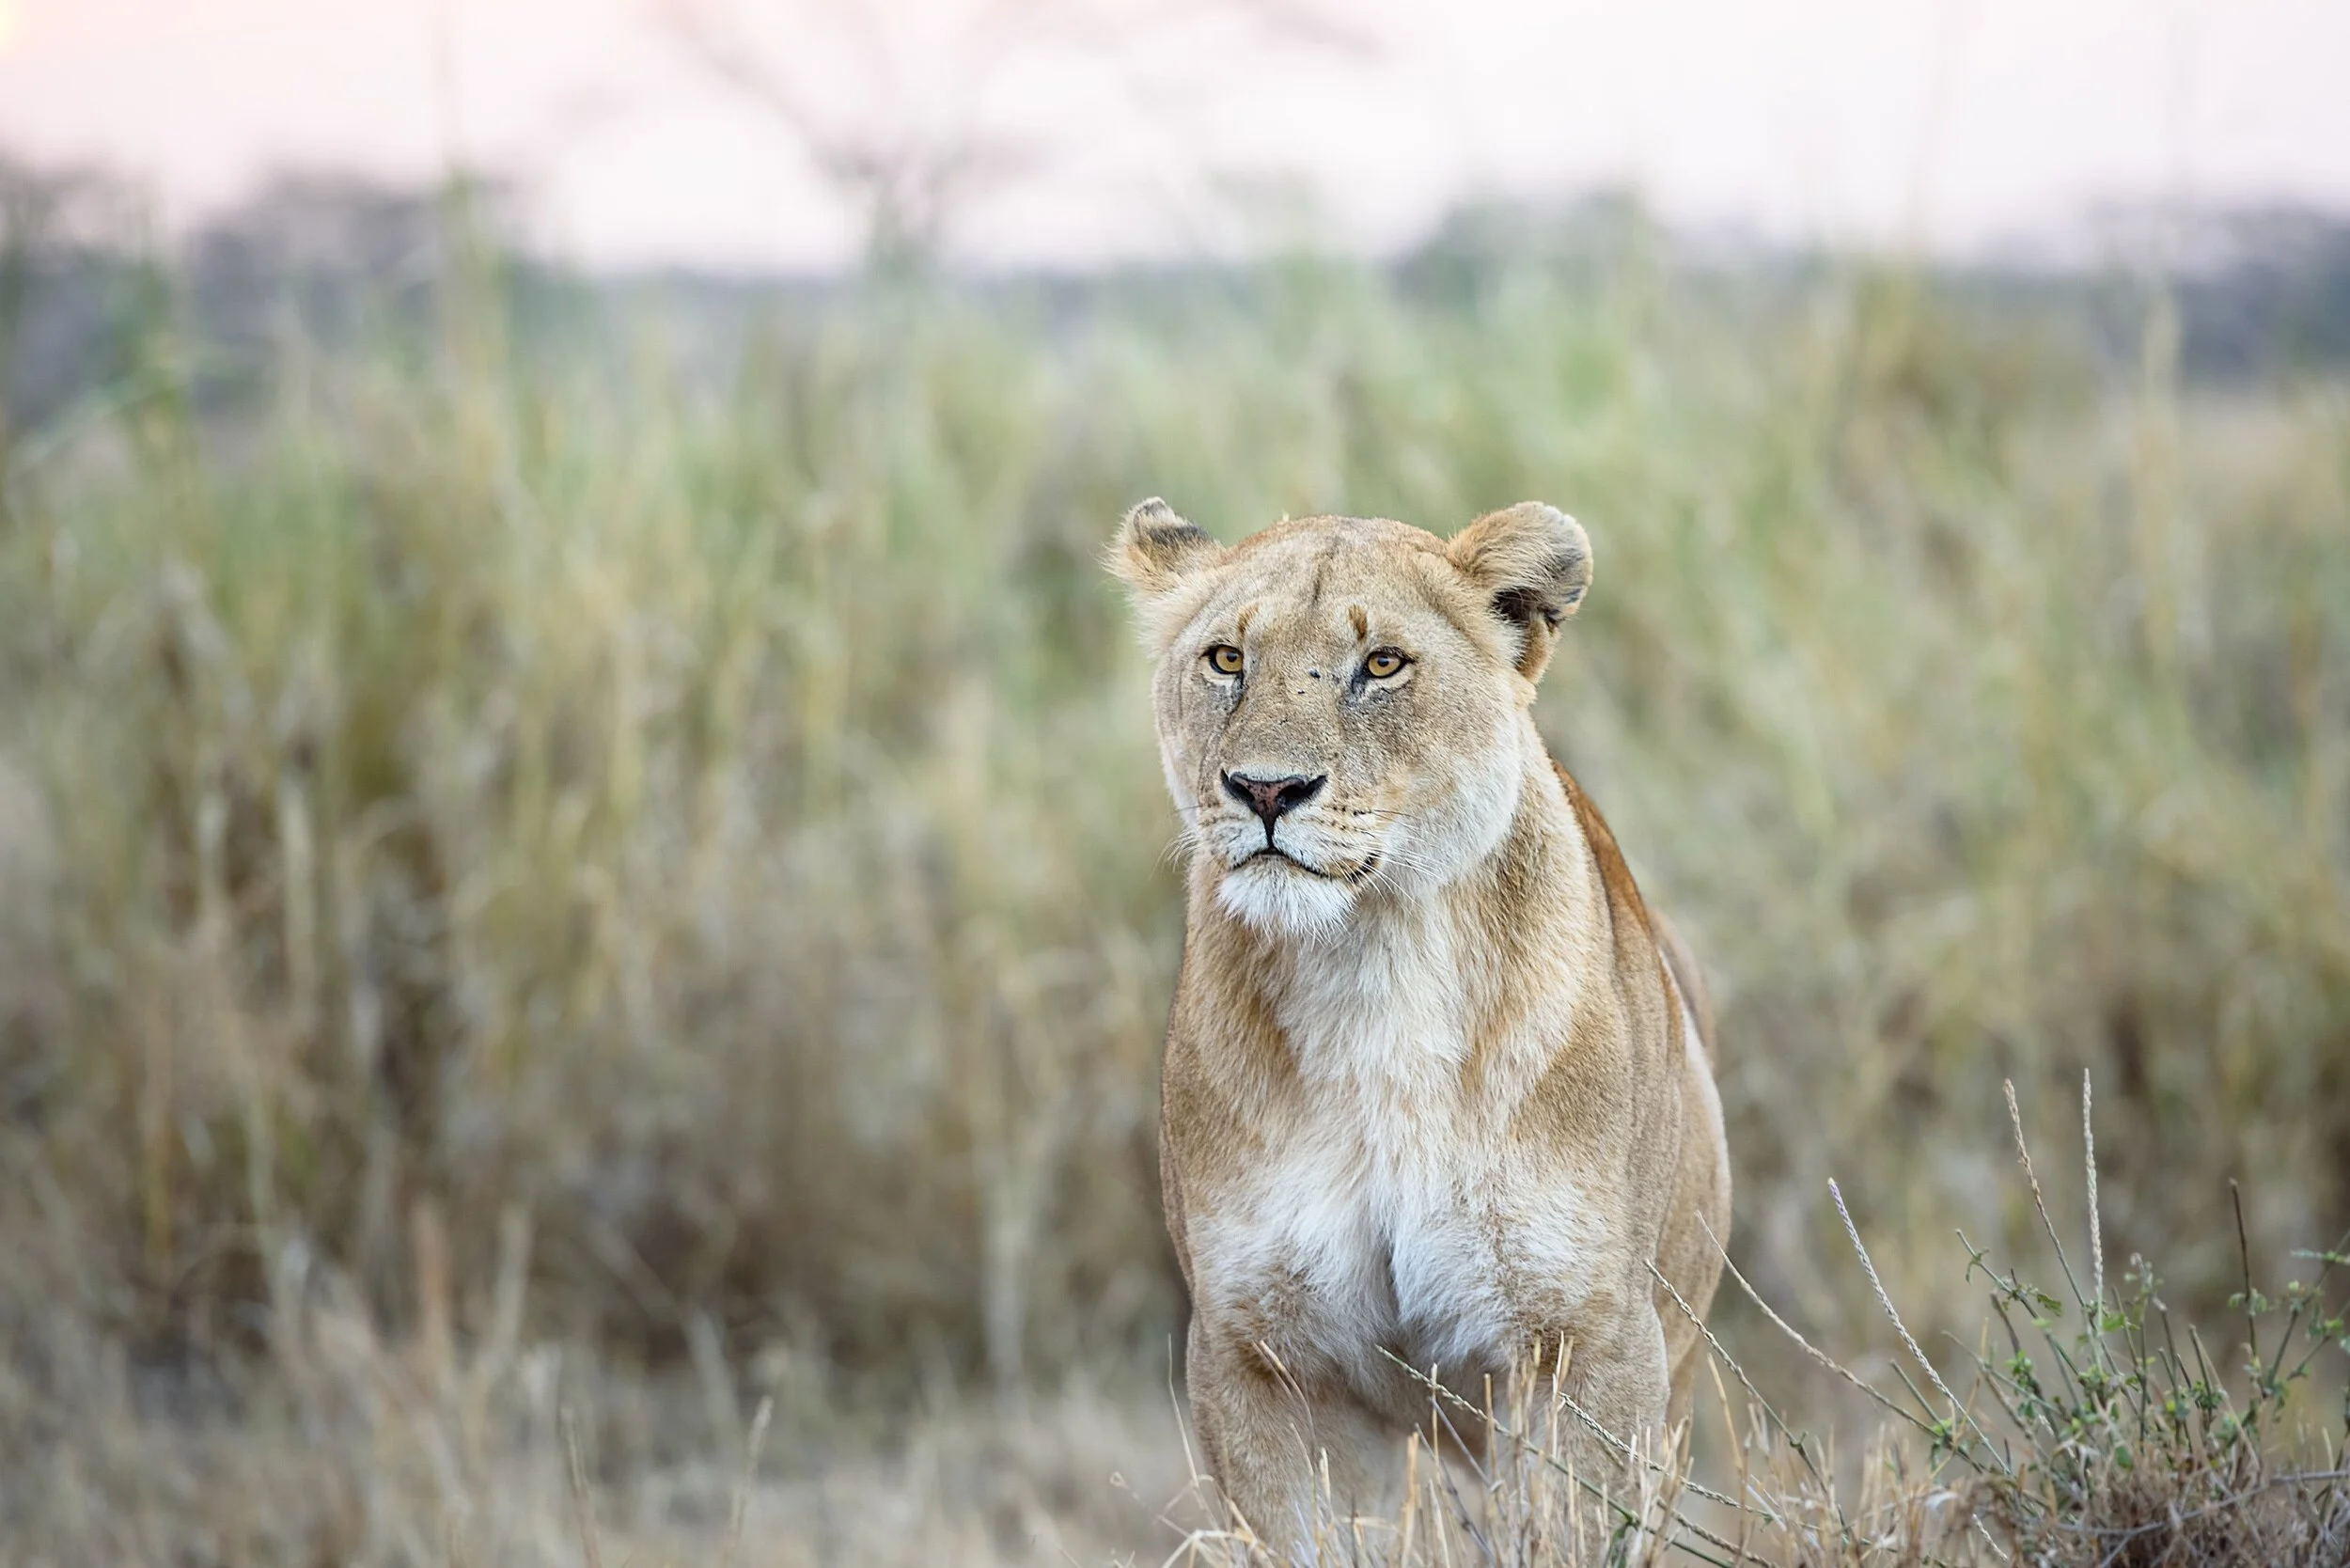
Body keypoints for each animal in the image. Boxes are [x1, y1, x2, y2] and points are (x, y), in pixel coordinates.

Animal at [1109, 498, 1731, 1549]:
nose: (1265, 790)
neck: (1370, 966)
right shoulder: (1256, 1354)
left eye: (1384, 664)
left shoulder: (1588, 1342)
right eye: (1227, 659)